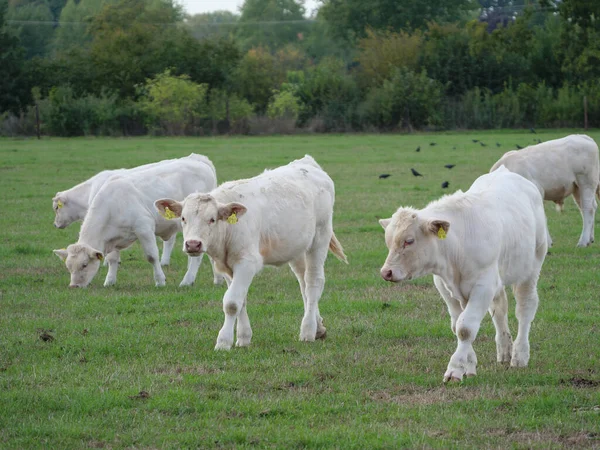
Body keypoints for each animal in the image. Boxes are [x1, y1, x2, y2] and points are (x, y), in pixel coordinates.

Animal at [53, 154, 223, 288]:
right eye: (68, 267)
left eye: (84, 264)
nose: (74, 286)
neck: (114, 204)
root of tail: (198, 159)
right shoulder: (112, 237)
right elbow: (112, 259)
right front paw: (110, 281)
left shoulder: (144, 228)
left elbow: (152, 256)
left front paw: (160, 281)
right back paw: (217, 279)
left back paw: (187, 280)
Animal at [156, 156, 346, 350]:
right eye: (183, 218)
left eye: (212, 219)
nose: (193, 244)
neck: (228, 231)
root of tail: (307, 162)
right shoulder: (227, 266)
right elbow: (241, 300)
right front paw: (243, 337)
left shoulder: (247, 262)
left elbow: (231, 303)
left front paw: (223, 342)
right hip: (297, 247)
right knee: (303, 282)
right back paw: (318, 328)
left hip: (320, 237)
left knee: (314, 282)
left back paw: (307, 331)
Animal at [380, 167, 548, 382]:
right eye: (388, 242)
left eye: (409, 241)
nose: (386, 272)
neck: (456, 246)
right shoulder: (445, 286)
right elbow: (458, 325)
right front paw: (468, 365)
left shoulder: (484, 285)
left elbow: (465, 327)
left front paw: (455, 369)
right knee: (499, 310)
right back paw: (504, 351)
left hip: (531, 269)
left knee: (525, 308)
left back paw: (520, 355)